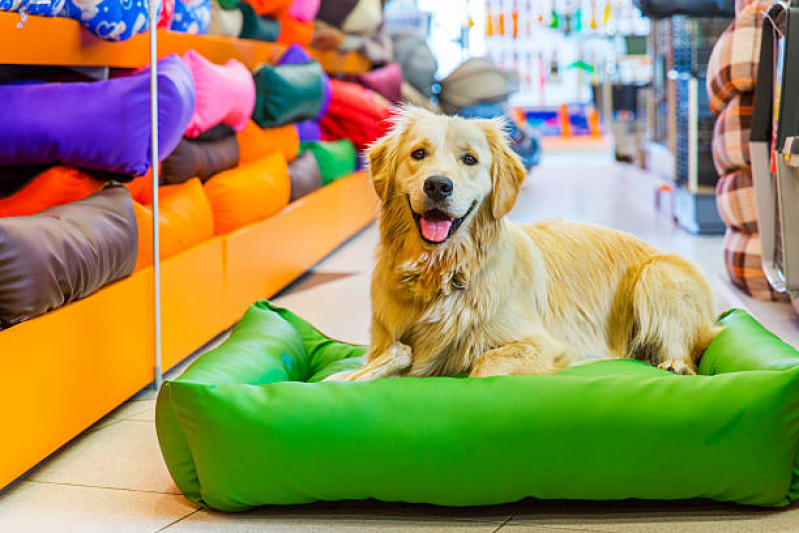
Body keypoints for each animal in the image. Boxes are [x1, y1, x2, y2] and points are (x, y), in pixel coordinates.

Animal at [324, 106, 720, 380]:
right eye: (418, 153)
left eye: (470, 159)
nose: (437, 185)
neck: (443, 270)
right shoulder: (381, 345)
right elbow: (367, 367)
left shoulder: (545, 344)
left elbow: (483, 364)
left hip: (658, 275)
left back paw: (675, 364)